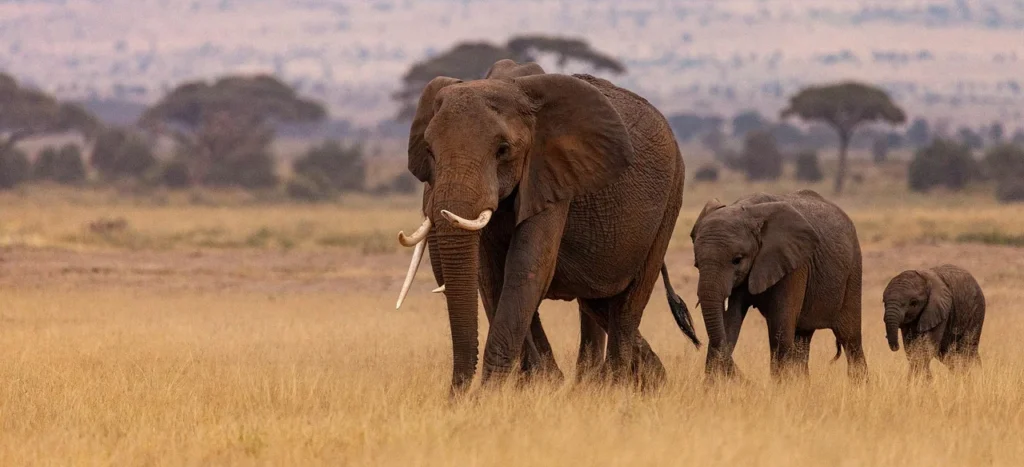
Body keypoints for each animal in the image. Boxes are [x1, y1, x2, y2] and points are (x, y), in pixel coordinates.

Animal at [393, 59, 699, 395]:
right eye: (430, 151)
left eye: (503, 150)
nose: (455, 396)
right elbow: (491, 277)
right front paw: (537, 385)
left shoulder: (552, 175)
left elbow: (526, 269)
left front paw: (491, 394)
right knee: (597, 302)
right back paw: (641, 380)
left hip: (671, 198)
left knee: (628, 305)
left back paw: (614, 387)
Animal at [686, 189, 867, 382]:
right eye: (697, 264)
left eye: (737, 260)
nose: (748, 381)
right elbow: (729, 324)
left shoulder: (794, 264)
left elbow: (780, 330)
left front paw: (782, 387)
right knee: (802, 339)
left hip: (853, 271)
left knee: (850, 338)